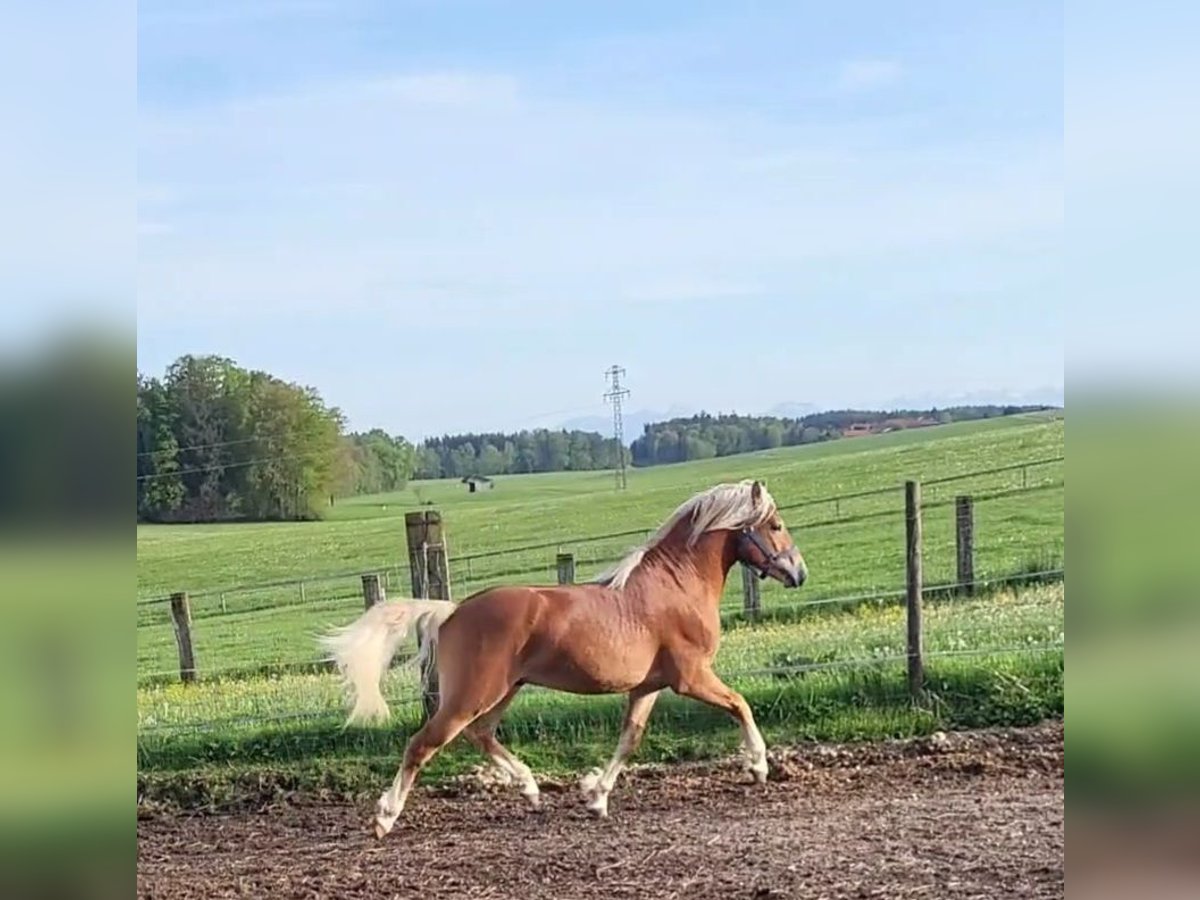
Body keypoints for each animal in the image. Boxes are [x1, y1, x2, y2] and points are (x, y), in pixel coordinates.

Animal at [319, 480, 806, 840]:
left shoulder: (647, 687)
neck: (675, 585)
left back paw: (531, 789)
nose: (799, 572)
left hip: (501, 691)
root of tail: (451, 611)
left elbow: (630, 738)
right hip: (471, 694)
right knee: (424, 743)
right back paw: (385, 818)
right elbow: (740, 703)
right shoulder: (691, 676)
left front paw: (596, 797)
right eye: (776, 524)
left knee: (481, 733)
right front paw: (759, 766)